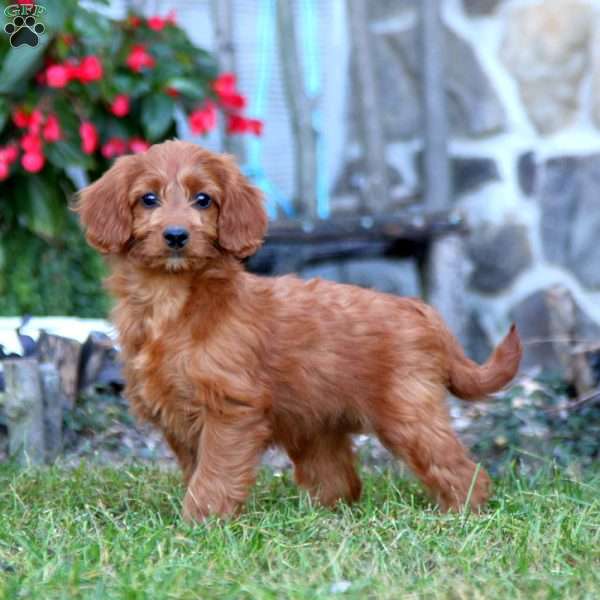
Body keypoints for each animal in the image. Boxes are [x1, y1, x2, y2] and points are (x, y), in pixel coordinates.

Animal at [77, 139, 524, 520]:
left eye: (203, 199)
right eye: (148, 199)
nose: (175, 236)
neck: (172, 301)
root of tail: (421, 310)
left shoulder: (230, 410)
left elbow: (214, 476)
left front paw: (200, 524)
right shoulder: (179, 418)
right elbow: (197, 471)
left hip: (409, 416)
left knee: (460, 468)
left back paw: (461, 515)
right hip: (318, 426)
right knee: (342, 482)